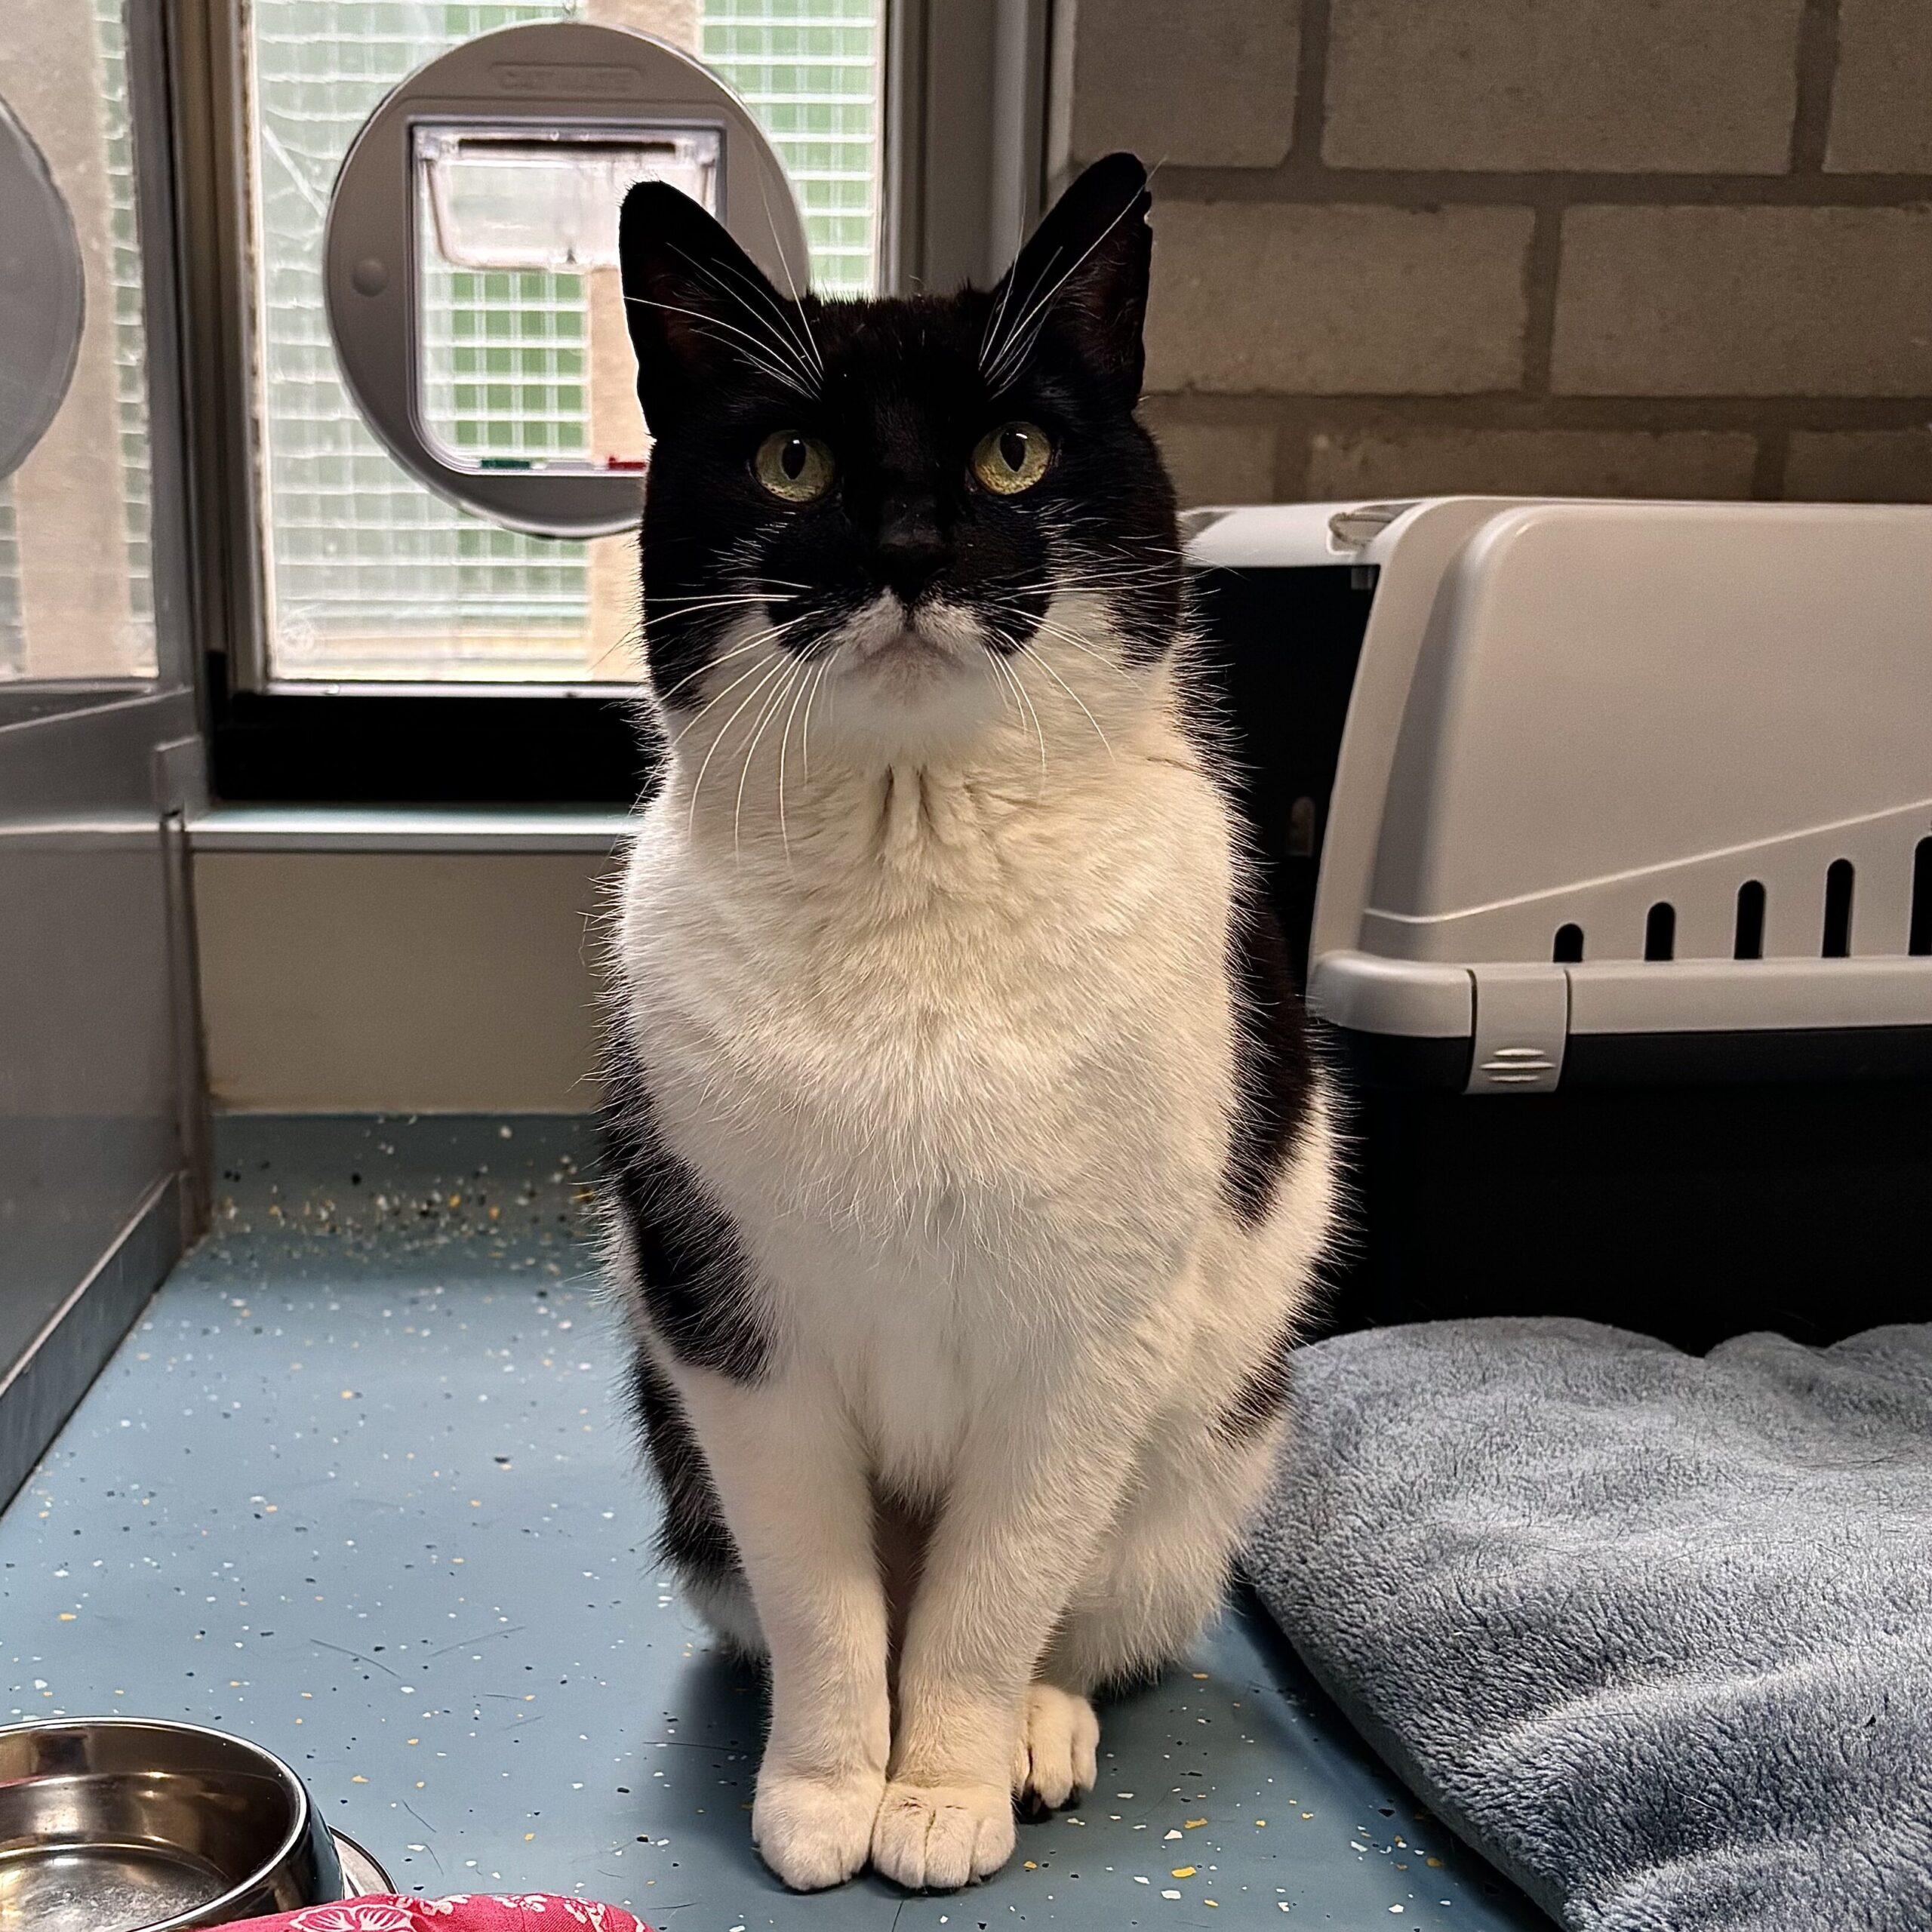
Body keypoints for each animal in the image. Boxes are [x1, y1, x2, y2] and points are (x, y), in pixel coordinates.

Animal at [600, 152, 1337, 1894]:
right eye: (792, 459)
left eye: (1014, 453)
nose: (912, 550)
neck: (915, 851)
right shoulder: (734, 1329)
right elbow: (822, 1599)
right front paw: (824, 1784)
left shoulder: (1089, 1336)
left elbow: (992, 1595)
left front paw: (937, 1785)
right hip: (682, 1465)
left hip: (1198, 1455)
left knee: (1079, 1610)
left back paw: (1033, 1732)